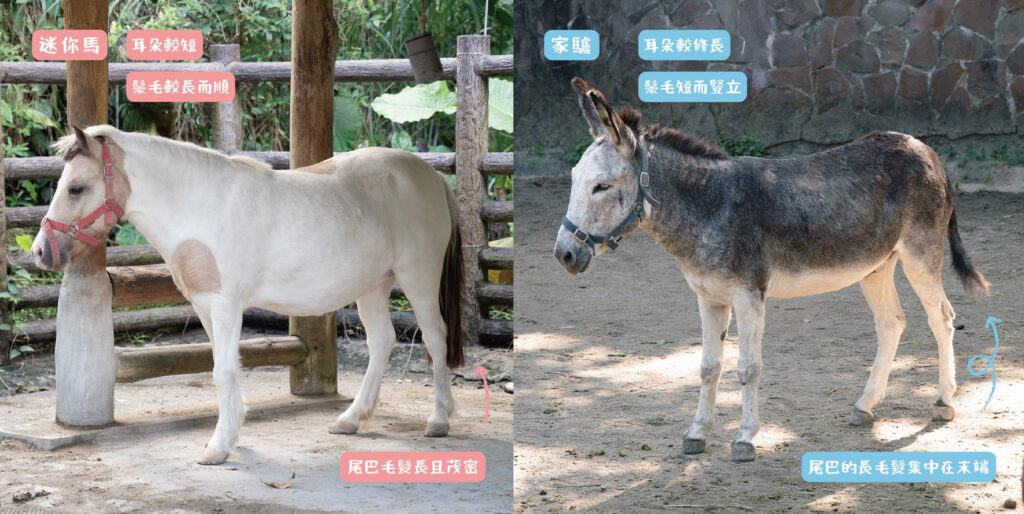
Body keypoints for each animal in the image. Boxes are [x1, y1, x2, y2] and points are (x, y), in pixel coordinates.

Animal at [32, 125, 465, 465]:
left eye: (76, 188)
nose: (40, 252)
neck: (201, 206)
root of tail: (431, 176)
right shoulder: (206, 306)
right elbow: (223, 368)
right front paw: (233, 433)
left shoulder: (227, 306)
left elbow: (223, 370)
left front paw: (218, 446)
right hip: (373, 285)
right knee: (382, 342)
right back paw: (351, 419)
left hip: (418, 278)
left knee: (436, 338)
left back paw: (439, 421)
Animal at [553, 78, 990, 462]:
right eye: (574, 180)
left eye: (602, 187)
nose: (564, 255)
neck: (710, 205)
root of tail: (925, 148)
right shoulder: (709, 297)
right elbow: (708, 366)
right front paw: (696, 434)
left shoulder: (749, 294)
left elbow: (748, 368)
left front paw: (745, 440)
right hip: (876, 266)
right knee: (892, 324)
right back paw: (865, 406)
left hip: (920, 256)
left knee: (942, 319)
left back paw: (943, 402)